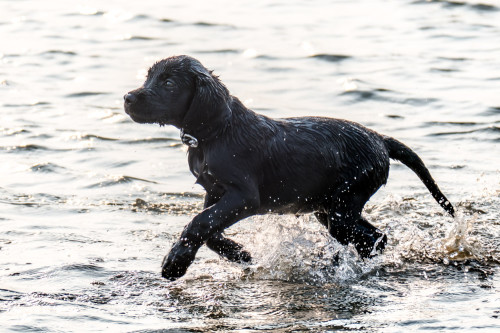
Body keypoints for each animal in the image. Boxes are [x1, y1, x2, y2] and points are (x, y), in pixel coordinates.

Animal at [123, 55, 456, 278]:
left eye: (168, 83)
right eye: (149, 78)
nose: (127, 97)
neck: (216, 133)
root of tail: (380, 140)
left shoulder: (243, 196)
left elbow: (199, 222)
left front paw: (174, 263)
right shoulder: (215, 192)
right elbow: (210, 230)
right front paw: (240, 254)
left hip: (343, 207)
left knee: (374, 238)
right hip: (329, 208)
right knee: (373, 238)